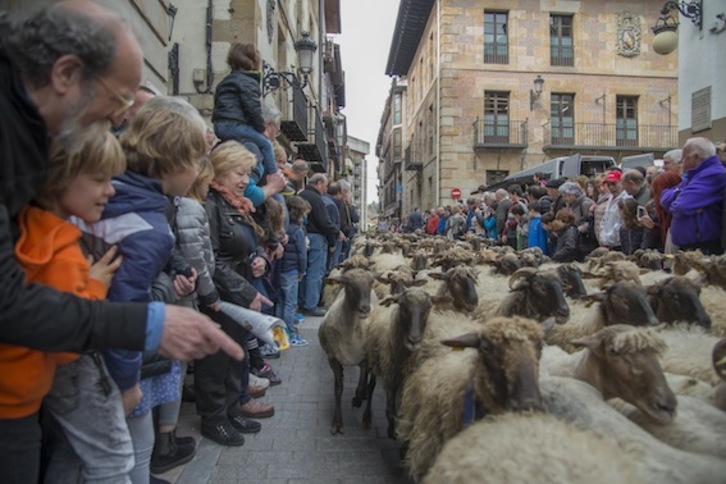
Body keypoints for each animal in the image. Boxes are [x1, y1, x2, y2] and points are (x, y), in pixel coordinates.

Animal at [318, 269, 378, 435]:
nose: (365, 309)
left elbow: (360, 387)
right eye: (348, 284)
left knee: (371, 386)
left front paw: (357, 400)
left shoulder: (365, 359)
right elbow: (338, 388)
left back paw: (367, 417)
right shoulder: (333, 359)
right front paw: (337, 423)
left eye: (371, 282)